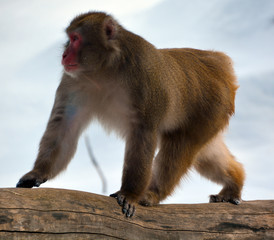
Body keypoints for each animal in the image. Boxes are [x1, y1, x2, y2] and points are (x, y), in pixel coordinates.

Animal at [16, 11, 244, 218]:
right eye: (69, 39)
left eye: (75, 39)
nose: (64, 54)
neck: (104, 70)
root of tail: (217, 61)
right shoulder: (73, 82)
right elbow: (65, 125)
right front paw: (38, 173)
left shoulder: (143, 79)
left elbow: (142, 133)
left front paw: (130, 194)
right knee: (204, 151)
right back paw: (233, 183)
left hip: (211, 108)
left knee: (181, 144)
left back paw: (152, 194)